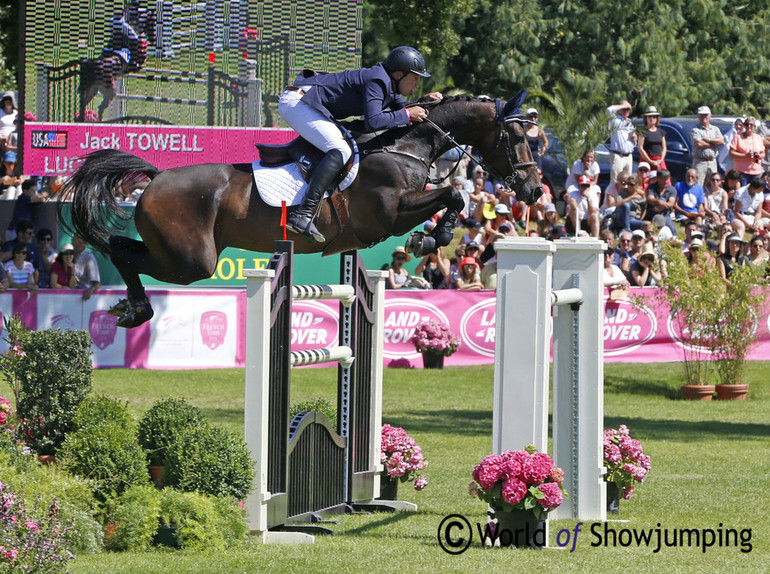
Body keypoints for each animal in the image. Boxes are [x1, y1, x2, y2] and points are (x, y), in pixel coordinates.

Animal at [63, 94, 540, 328]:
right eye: (518, 138)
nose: (534, 190)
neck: (403, 146)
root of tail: (157, 176)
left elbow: (451, 197)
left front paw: (430, 236)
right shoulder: (385, 216)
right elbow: (455, 195)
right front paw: (432, 238)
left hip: (180, 255)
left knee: (122, 246)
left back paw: (131, 309)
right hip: (190, 261)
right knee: (124, 251)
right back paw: (138, 310)